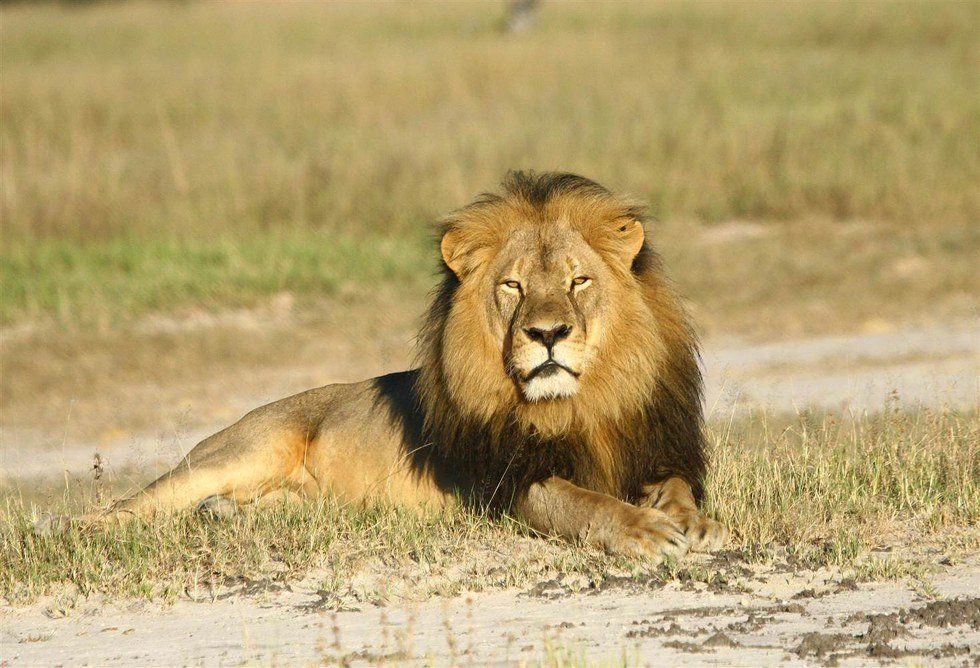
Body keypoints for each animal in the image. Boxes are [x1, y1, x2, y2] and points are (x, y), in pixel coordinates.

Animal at [53, 172, 726, 559]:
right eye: (512, 287)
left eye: (578, 281)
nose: (548, 334)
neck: (579, 405)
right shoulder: (506, 484)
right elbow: (580, 503)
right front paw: (643, 531)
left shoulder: (656, 447)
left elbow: (677, 486)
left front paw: (694, 523)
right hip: (242, 450)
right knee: (129, 505)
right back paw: (68, 530)